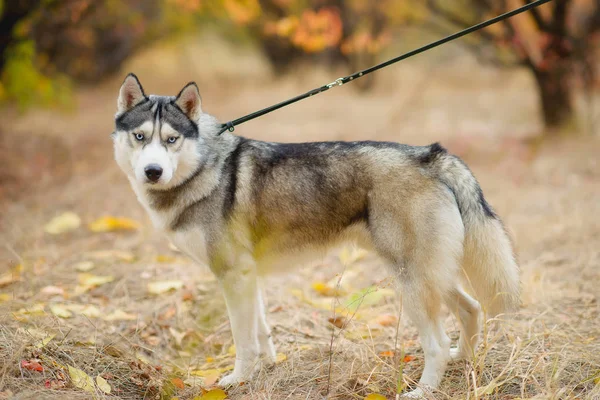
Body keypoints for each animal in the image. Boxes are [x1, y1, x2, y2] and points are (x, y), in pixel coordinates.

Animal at [112, 73, 520, 396]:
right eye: (140, 136)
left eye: (171, 140)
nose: (152, 171)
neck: (205, 168)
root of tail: (430, 155)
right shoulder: (248, 276)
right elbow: (261, 333)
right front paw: (267, 369)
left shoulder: (232, 276)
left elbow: (243, 341)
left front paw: (237, 380)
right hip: (432, 275)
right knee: (471, 309)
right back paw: (462, 362)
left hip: (411, 282)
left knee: (437, 341)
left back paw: (423, 391)